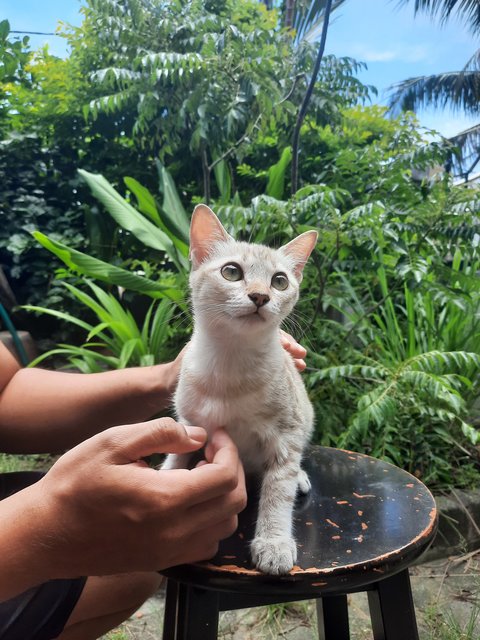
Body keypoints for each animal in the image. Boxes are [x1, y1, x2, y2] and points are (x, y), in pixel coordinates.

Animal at [163, 205, 316, 576]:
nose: (260, 296)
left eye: (280, 281)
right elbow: (176, 458)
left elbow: (278, 489)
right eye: (231, 272)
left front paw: (274, 542)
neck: (229, 364)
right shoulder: (190, 424)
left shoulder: (286, 434)